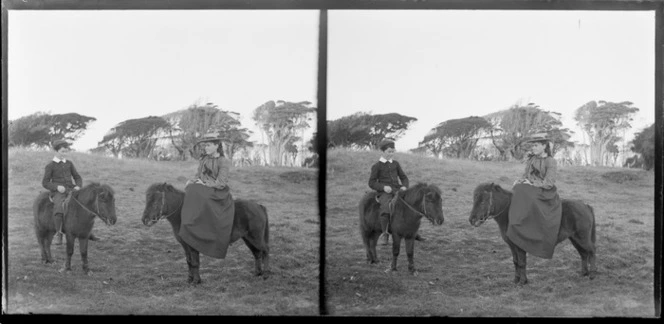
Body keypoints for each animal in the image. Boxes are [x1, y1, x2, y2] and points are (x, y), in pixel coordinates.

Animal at [142, 182, 270, 284]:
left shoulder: (192, 245)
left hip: (256, 238)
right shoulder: (185, 245)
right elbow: (189, 261)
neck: (183, 214)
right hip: (248, 238)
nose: (145, 220)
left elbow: (195, 262)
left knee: (265, 251)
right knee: (257, 254)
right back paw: (257, 273)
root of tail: (258, 206)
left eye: (156, 201)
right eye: (147, 199)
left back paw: (266, 274)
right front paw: (189, 279)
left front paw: (196, 281)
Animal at [466, 184, 596, 284]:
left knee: (591, 252)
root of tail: (585, 205)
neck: (510, 214)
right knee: (584, 254)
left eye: (483, 201)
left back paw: (592, 275)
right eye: (474, 199)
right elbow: (515, 262)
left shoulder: (520, 246)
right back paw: (584, 273)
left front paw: (523, 281)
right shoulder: (512, 246)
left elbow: (522, 262)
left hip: (582, 238)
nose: (472, 220)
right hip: (575, 239)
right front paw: (516, 280)